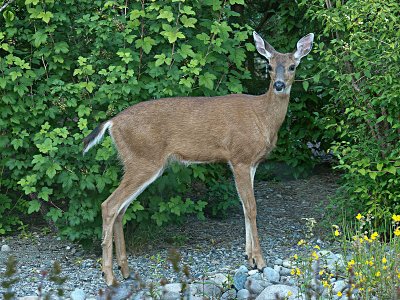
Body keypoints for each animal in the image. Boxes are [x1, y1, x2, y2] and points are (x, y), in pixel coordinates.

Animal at [84, 31, 314, 284]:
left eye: (292, 66)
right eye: (269, 67)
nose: (279, 85)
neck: (263, 118)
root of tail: (112, 122)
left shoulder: (251, 163)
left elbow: (244, 207)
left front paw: (249, 258)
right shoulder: (240, 158)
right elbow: (252, 207)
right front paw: (261, 261)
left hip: (138, 163)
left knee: (120, 210)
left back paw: (125, 270)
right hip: (143, 160)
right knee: (109, 206)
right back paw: (109, 276)